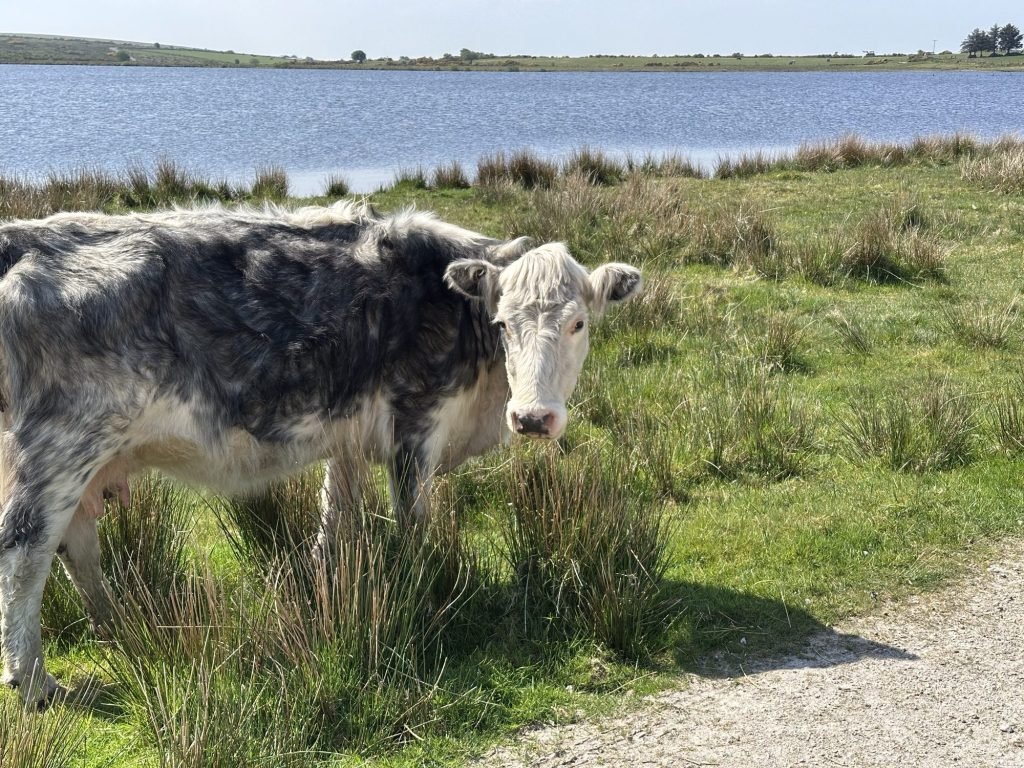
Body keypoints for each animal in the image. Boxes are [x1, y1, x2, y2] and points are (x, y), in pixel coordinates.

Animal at [0, 201, 641, 706]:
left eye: (579, 323)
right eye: (503, 323)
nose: (532, 417)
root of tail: (27, 237)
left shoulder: (349, 437)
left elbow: (336, 519)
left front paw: (328, 591)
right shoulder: (416, 424)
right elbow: (413, 525)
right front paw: (425, 590)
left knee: (76, 544)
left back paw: (122, 628)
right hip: (60, 446)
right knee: (24, 550)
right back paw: (36, 684)